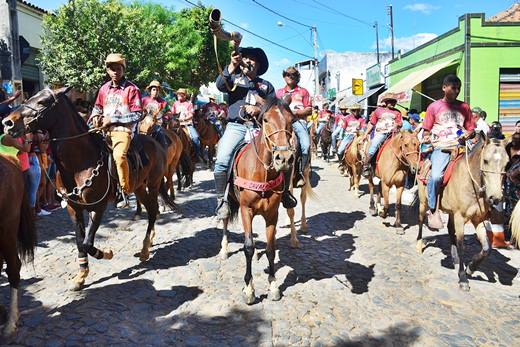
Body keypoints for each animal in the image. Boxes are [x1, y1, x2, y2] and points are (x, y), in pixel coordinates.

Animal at [1, 87, 177, 290]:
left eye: (43, 102)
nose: (8, 122)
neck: (79, 163)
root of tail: (156, 143)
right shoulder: (73, 208)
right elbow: (79, 241)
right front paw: (81, 275)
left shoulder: (98, 207)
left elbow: (87, 242)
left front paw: (106, 253)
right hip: (139, 187)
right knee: (151, 210)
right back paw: (149, 242)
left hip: (153, 184)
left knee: (154, 210)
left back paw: (145, 249)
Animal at [217, 97, 294, 304]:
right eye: (266, 119)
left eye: (291, 120)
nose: (284, 158)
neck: (262, 172)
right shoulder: (246, 211)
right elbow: (248, 247)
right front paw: (249, 289)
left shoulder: (272, 214)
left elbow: (270, 249)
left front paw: (273, 286)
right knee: (225, 219)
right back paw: (224, 250)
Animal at [418, 136, 508, 290]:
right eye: (485, 161)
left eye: (506, 163)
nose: (495, 197)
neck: (471, 184)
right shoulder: (460, 217)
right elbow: (461, 246)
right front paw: (463, 278)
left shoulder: (478, 219)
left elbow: (486, 248)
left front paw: (470, 268)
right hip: (424, 203)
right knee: (420, 220)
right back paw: (419, 244)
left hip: (451, 212)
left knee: (450, 229)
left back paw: (454, 259)